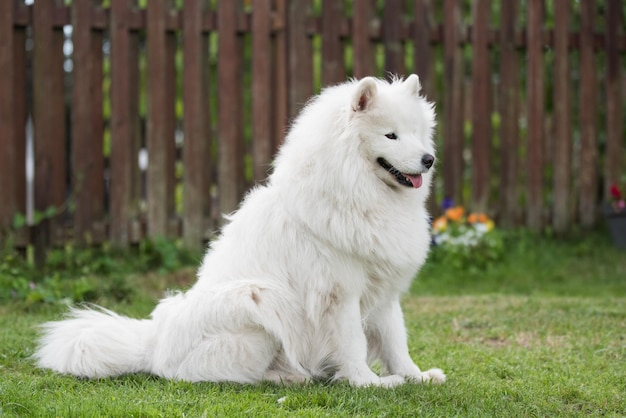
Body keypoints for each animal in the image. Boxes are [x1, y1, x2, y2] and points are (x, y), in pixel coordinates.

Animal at [35, 73, 444, 386]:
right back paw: (291, 377)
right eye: (390, 136)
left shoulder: (383, 293)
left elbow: (396, 342)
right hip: (260, 299)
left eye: (416, 133)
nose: (429, 159)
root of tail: (153, 346)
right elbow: (354, 345)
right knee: (232, 376)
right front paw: (371, 383)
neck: (356, 192)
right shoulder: (339, 295)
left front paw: (417, 376)